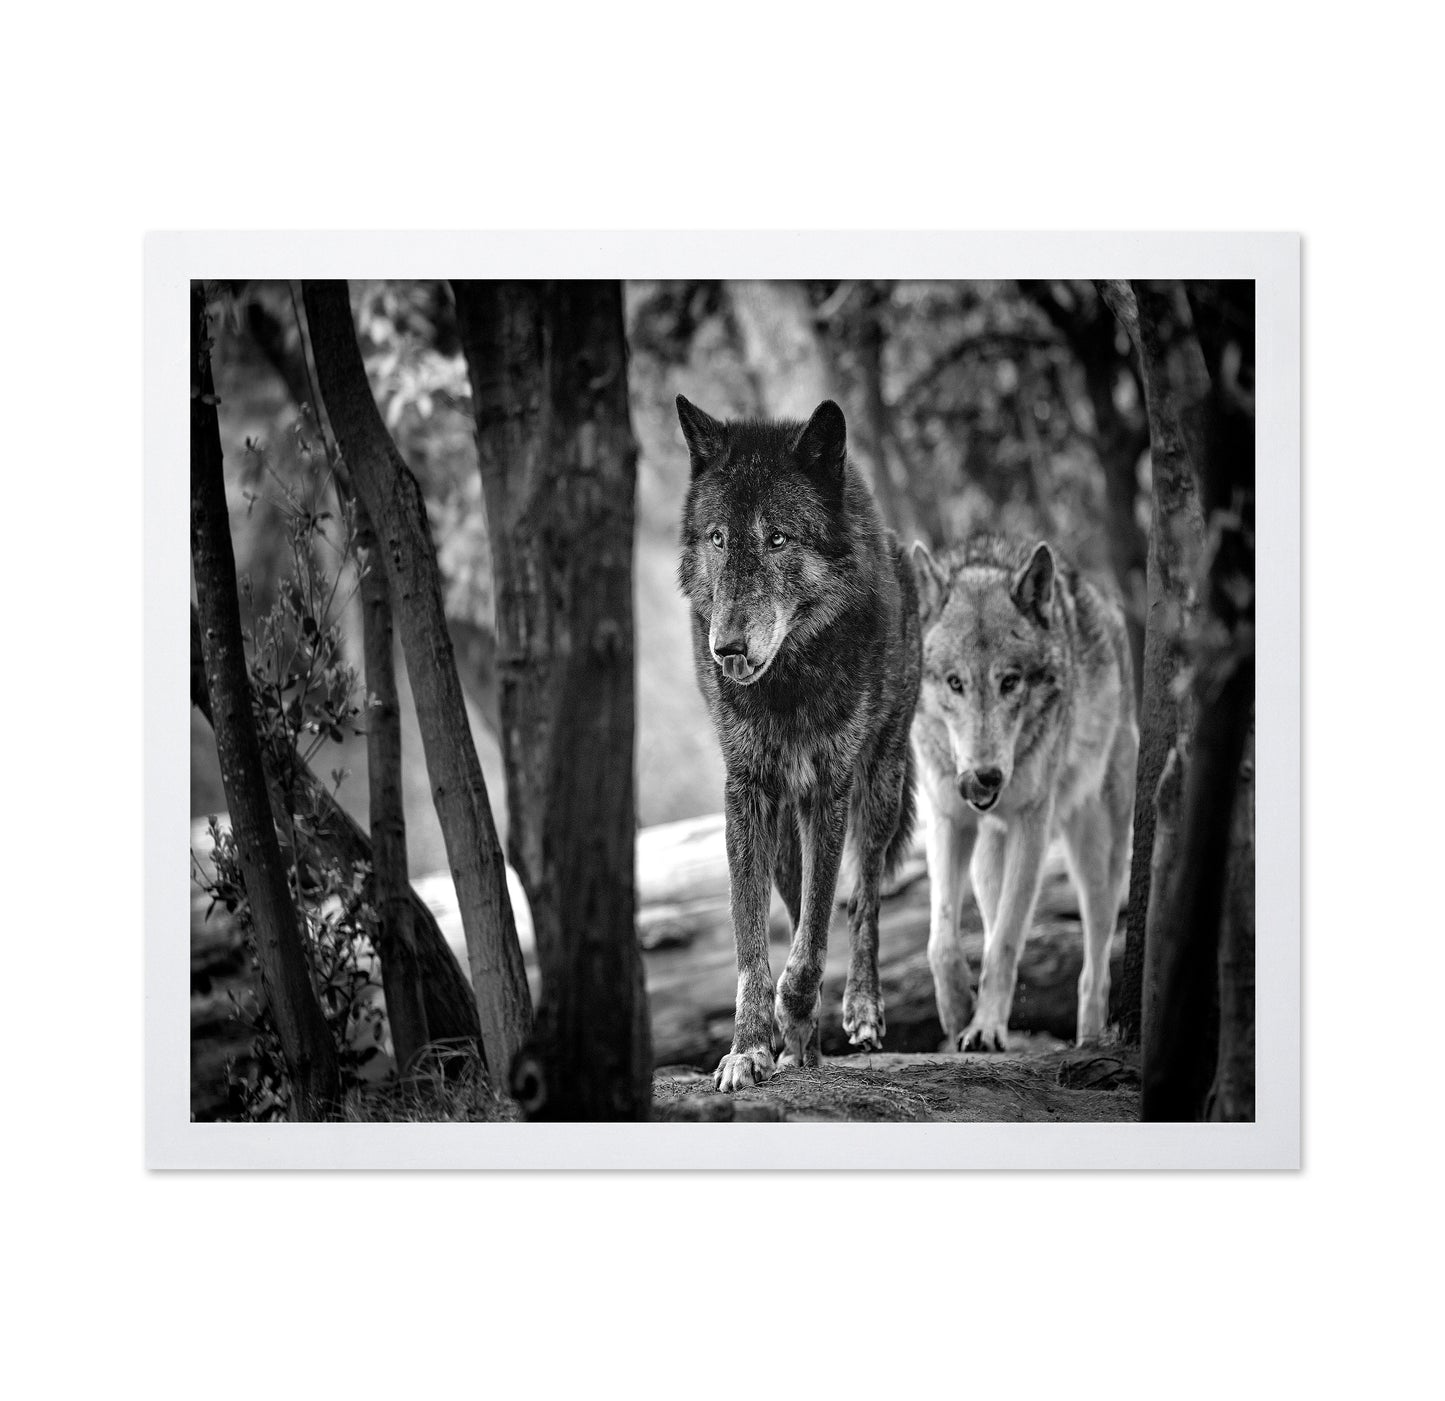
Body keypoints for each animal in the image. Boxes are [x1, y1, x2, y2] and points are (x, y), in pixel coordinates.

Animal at [676, 395, 921, 1091]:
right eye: (718, 538)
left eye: (777, 538)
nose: (726, 648)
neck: (785, 686)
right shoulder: (746, 791)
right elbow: (751, 943)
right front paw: (750, 1047)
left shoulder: (829, 791)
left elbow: (814, 937)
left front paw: (793, 1011)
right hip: (784, 831)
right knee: (794, 903)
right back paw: (800, 1047)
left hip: (880, 784)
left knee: (863, 899)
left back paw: (859, 1009)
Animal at [910, 533, 1138, 1051]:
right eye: (955, 683)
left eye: (1010, 681)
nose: (985, 778)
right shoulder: (947, 819)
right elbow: (941, 940)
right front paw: (959, 1012)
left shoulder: (1031, 824)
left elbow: (1008, 941)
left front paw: (986, 1026)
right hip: (986, 860)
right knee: (991, 917)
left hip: (1096, 855)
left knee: (1095, 966)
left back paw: (1090, 1040)